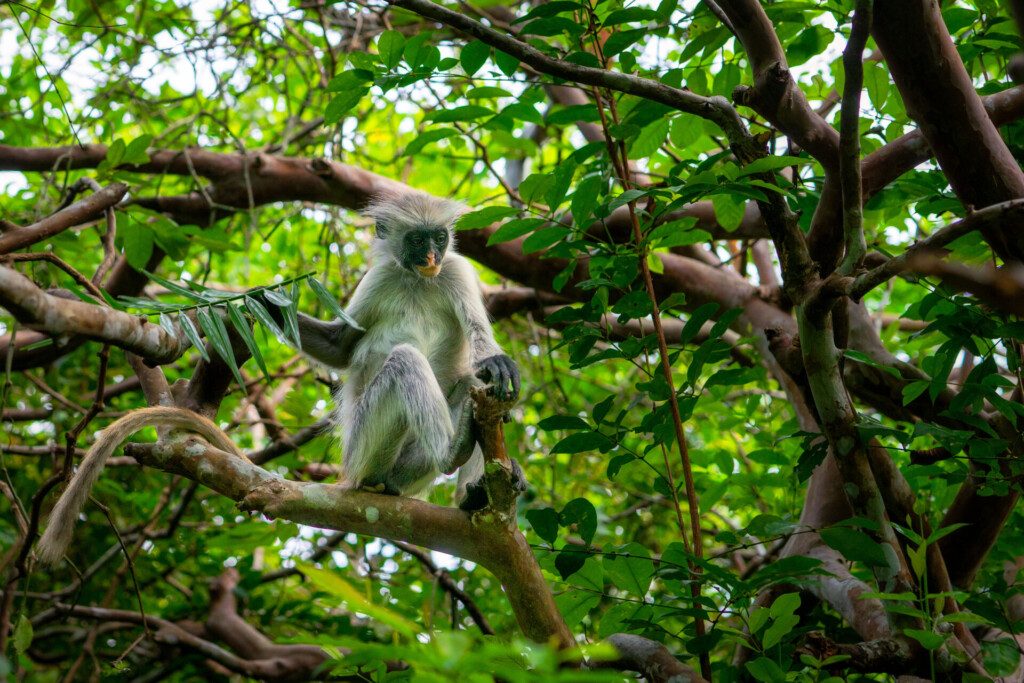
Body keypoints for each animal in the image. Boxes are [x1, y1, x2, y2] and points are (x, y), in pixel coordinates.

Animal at [260, 191, 524, 501]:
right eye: (417, 240)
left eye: (440, 238)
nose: (432, 256)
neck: (418, 280)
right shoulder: (380, 277)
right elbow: (338, 348)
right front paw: (256, 303)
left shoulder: (454, 269)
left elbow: (479, 336)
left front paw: (496, 362)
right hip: (362, 452)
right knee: (405, 359)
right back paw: (452, 453)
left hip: (407, 470)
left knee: (471, 380)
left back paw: (472, 497)